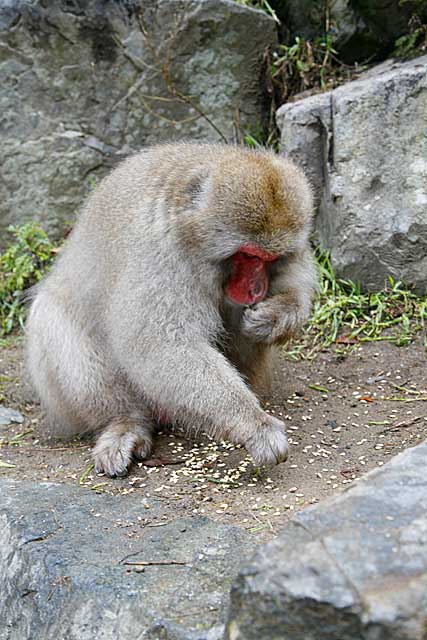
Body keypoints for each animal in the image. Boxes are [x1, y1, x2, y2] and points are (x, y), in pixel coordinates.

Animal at [25, 142, 316, 478]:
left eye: (271, 259)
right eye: (248, 255)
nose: (256, 289)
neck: (191, 233)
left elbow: (296, 284)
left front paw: (278, 316)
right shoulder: (160, 252)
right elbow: (159, 344)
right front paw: (254, 425)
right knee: (49, 317)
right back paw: (125, 422)